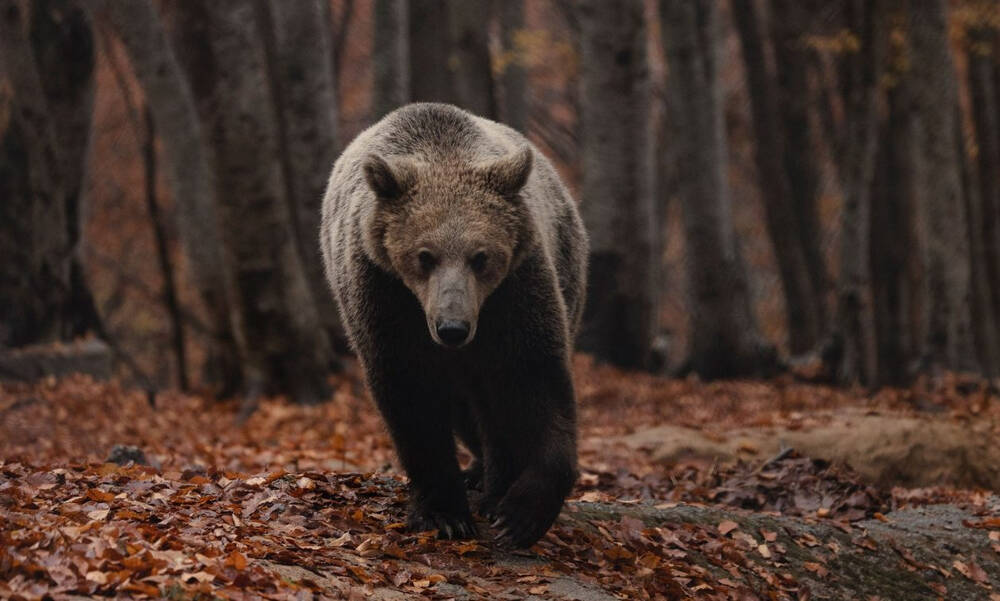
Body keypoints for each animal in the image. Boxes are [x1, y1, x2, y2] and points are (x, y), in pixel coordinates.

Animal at [320, 104, 584, 548]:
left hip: (567, 263)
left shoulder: (515, 290)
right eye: (424, 256)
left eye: (481, 257)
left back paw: (490, 482)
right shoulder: (383, 293)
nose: (453, 328)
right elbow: (412, 396)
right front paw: (445, 513)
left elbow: (534, 377)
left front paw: (518, 512)